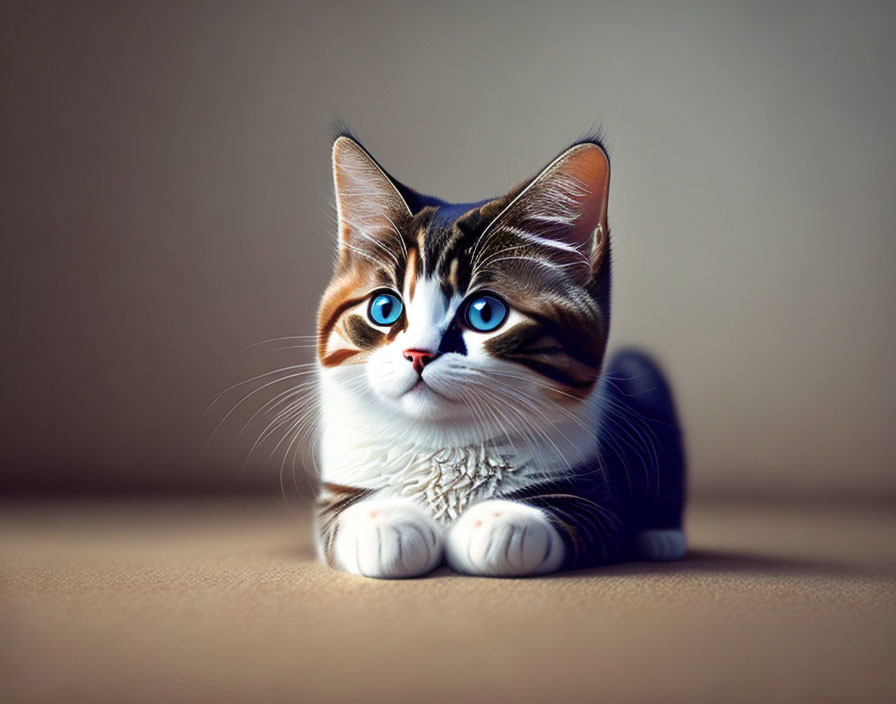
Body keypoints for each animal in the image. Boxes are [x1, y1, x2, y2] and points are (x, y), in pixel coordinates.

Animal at [316, 133, 688, 576]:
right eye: (384, 308)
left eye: (484, 313)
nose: (417, 354)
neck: (445, 445)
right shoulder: (337, 485)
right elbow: (337, 514)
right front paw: (384, 522)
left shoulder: (600, 496)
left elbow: (580, 516)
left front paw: (501, 521)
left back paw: (662, 538)